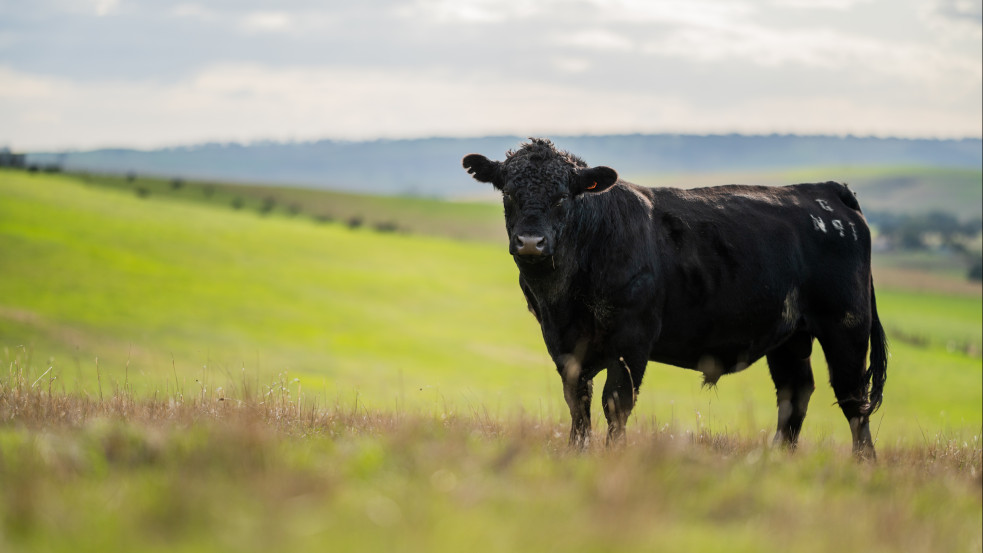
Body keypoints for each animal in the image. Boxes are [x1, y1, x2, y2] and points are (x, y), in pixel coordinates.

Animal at [466, 139, 888, 458]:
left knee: (853, 396)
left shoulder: (632, 338)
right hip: (790, 336)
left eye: (561, 197)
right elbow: (578, 402)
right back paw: (777, 457)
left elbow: (616, 402)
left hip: (846, 326)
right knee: (794, 393)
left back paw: (863, 464)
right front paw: (577, 451)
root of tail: (823, 189)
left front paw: (613, 456)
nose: (531, 242)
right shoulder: (562, 343)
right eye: (508, 193)